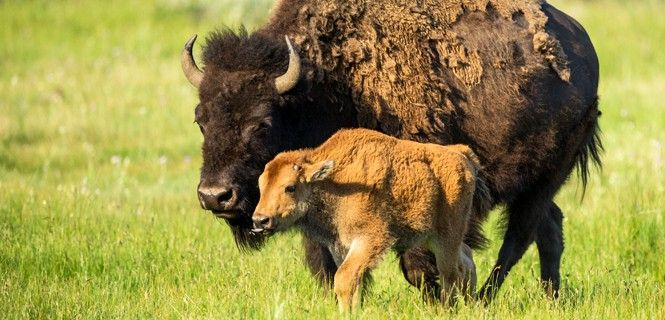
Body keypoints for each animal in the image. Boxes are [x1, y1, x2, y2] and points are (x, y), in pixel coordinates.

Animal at [249, 129, 488, 312]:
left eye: (290, 187)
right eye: (261, 185)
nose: (260, 220)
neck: (332, 182)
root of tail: (460, 154)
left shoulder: (370, 240)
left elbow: (344, 279)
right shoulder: (342, 247)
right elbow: (354, 282)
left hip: (446, 236)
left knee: (450, 273)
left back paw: (447, 309)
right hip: (432, 238)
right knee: (466, 259)